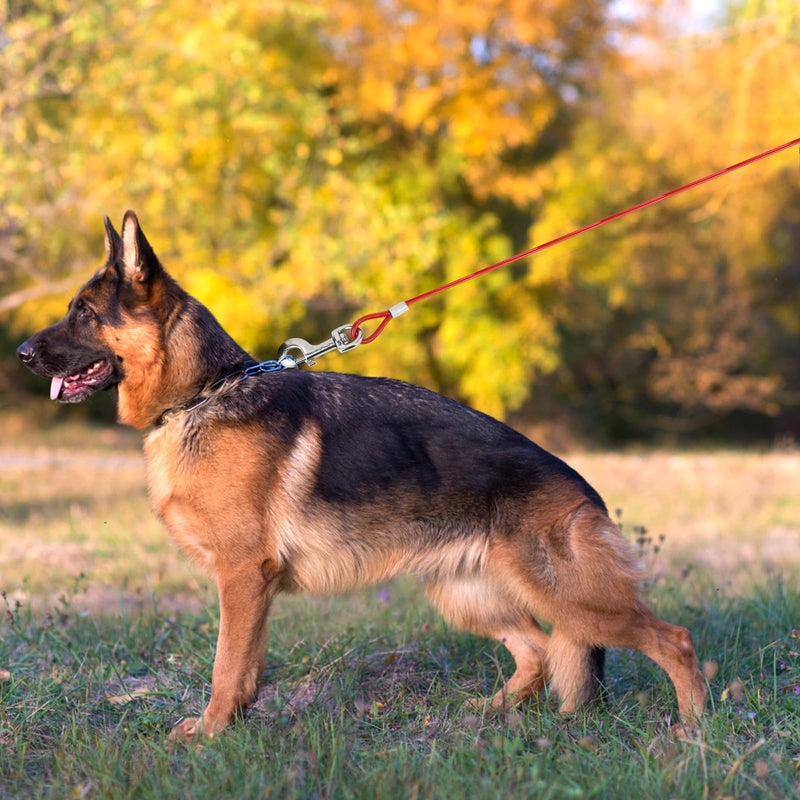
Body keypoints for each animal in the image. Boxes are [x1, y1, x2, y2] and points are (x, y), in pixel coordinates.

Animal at [17, 211, 708, 736]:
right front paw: (231, 728)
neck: (203, 394)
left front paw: (209, 736)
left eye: (85, 313)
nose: (21, 352)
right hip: (469, 596)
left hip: (568, 597)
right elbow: (245, 669)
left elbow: (224, 666)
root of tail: (583, 489)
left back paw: (694, 730)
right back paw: (485, 716)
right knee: (538, 652)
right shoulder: (251, 588)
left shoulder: (242, 577)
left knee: (674, 639)